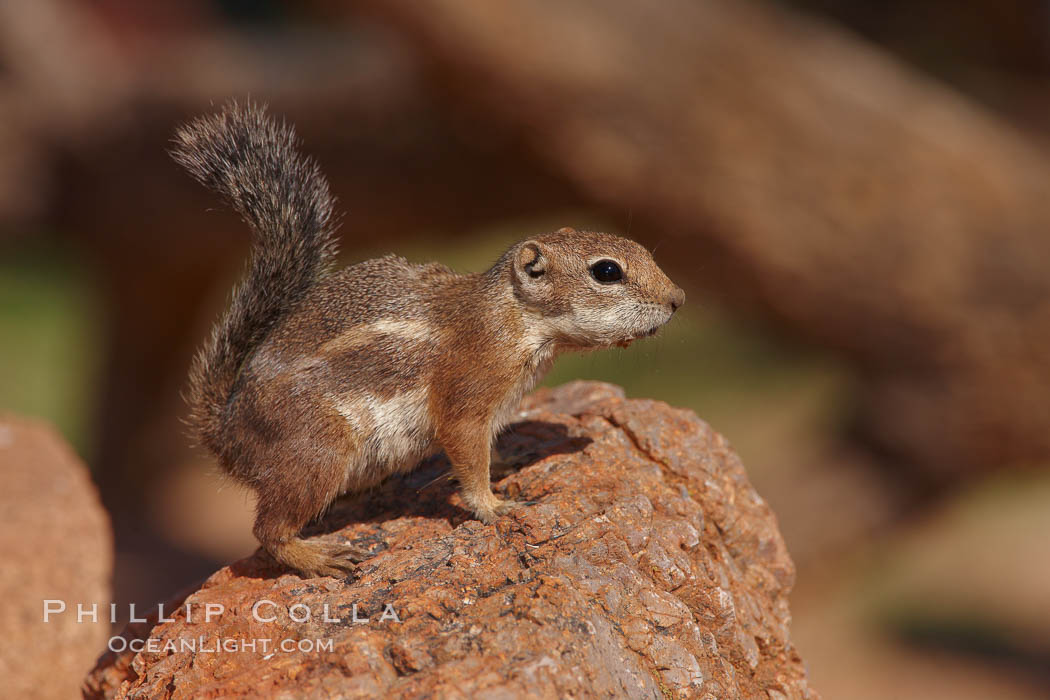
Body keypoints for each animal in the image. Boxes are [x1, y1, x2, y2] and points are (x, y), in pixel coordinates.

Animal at [172, 102, 684, 575]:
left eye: (639, 249)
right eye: (607, 272)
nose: (678, 298)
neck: (514, 318)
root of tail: (225, 432)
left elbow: (485, 452)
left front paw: (506, 464)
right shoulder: (467, 395)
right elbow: (466, 453)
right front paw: (493, 506)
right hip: (316, 451)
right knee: (269, 529)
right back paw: (317, 557)